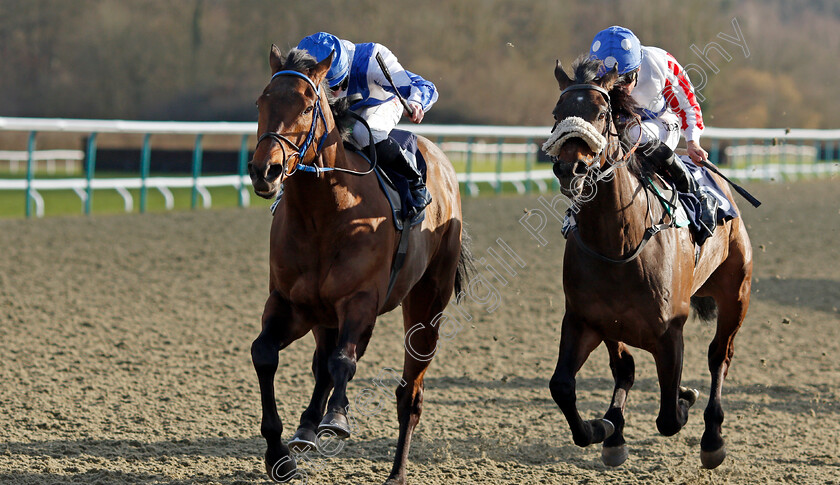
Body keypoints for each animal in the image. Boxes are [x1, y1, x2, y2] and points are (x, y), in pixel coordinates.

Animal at [246, 44, 470, 480]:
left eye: (306, 105)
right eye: (262, 101)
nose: (265, 170)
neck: (325, 213)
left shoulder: (360, 300)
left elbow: (343, 363)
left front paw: (336, 419)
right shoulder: (291, 303)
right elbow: (265, 353)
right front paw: (280, 454)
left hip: (426, 303)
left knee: (408, 392)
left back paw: (395, 471)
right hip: (325, 315)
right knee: (323, 362)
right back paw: (308, 427)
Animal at [544, 57, 756, 468]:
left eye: (601, 112)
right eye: (557, 113)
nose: (569, 168)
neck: (620, 245)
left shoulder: (669, 332)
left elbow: (669, 417)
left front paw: (685, 399)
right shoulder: (587, 320)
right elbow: (565, 385)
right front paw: (604, 428)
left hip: (736, 294)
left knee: (719, 356)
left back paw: (712, 437)